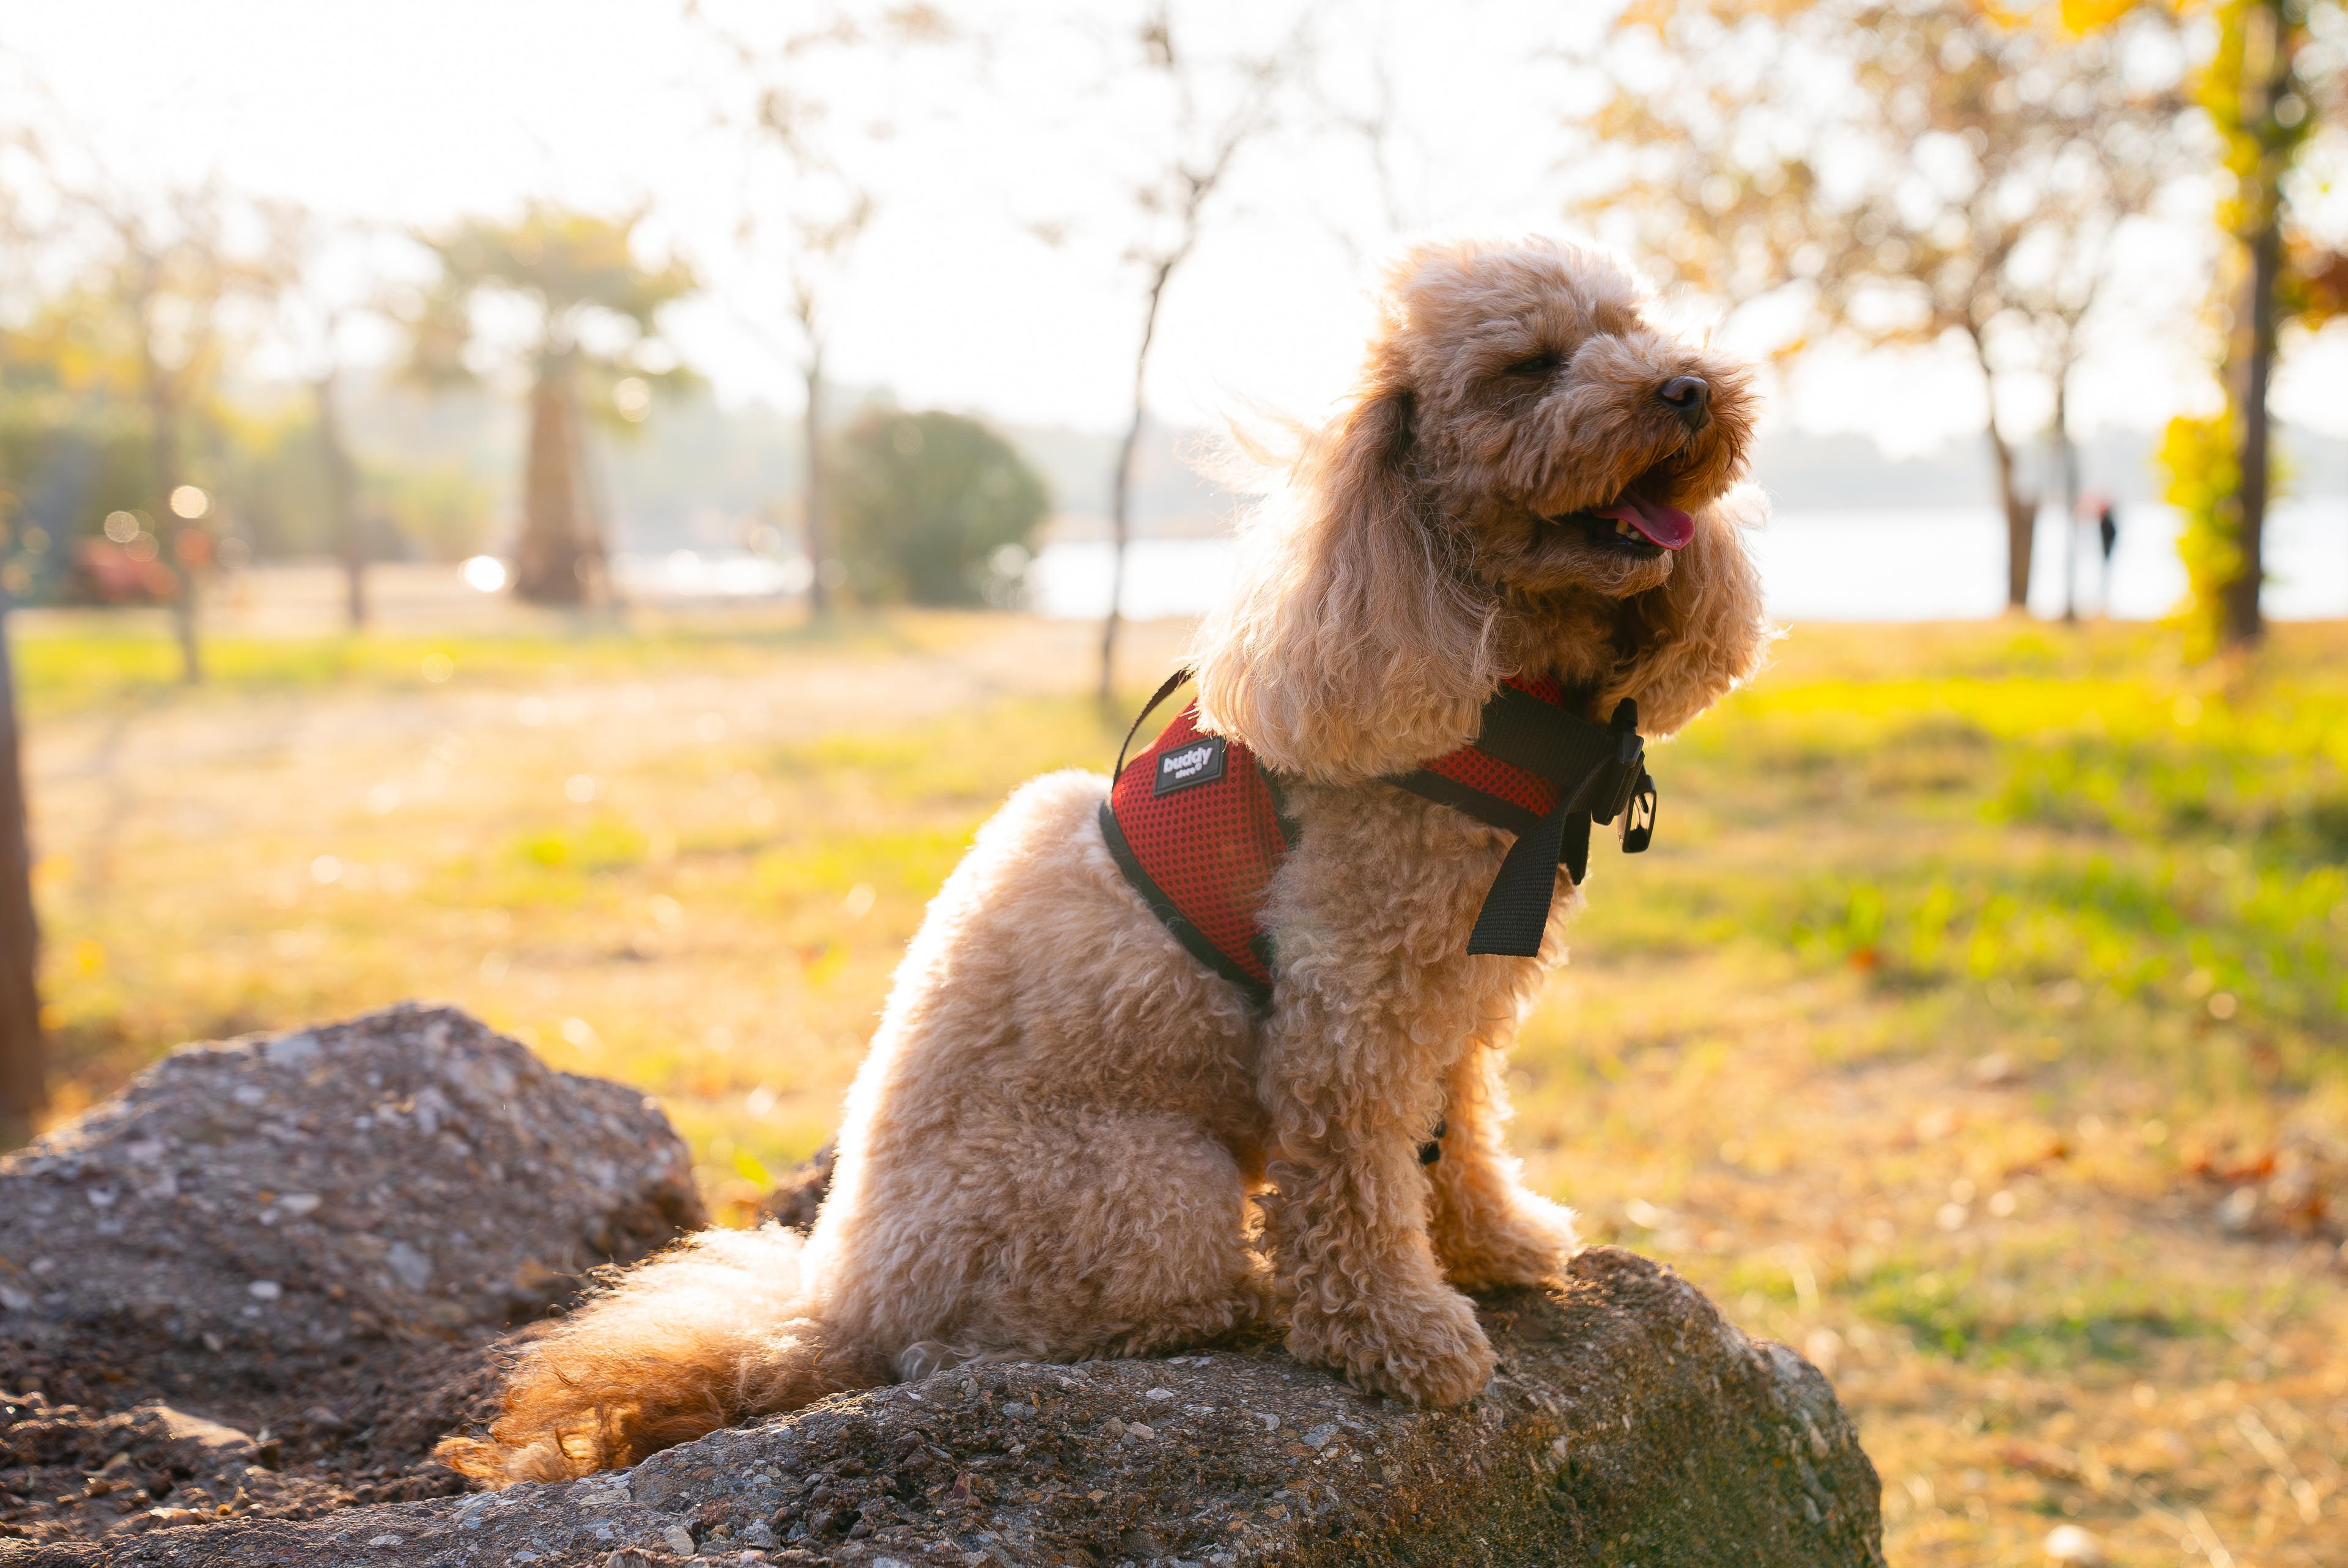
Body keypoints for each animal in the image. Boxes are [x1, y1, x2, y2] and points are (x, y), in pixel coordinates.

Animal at [437, 232, 1765, 1483]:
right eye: (1527, 367)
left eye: (1633, 327)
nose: (1691, 388)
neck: (1486, 666)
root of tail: (833, 1308)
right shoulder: (1351, 1012)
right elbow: (1360, 1188)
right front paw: (1405, 1336)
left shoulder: (1460, 1001)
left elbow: (1462, 1134)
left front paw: (1496, 1246)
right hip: (1148, 1181)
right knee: (1028, 1330)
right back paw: (1242, 1301)